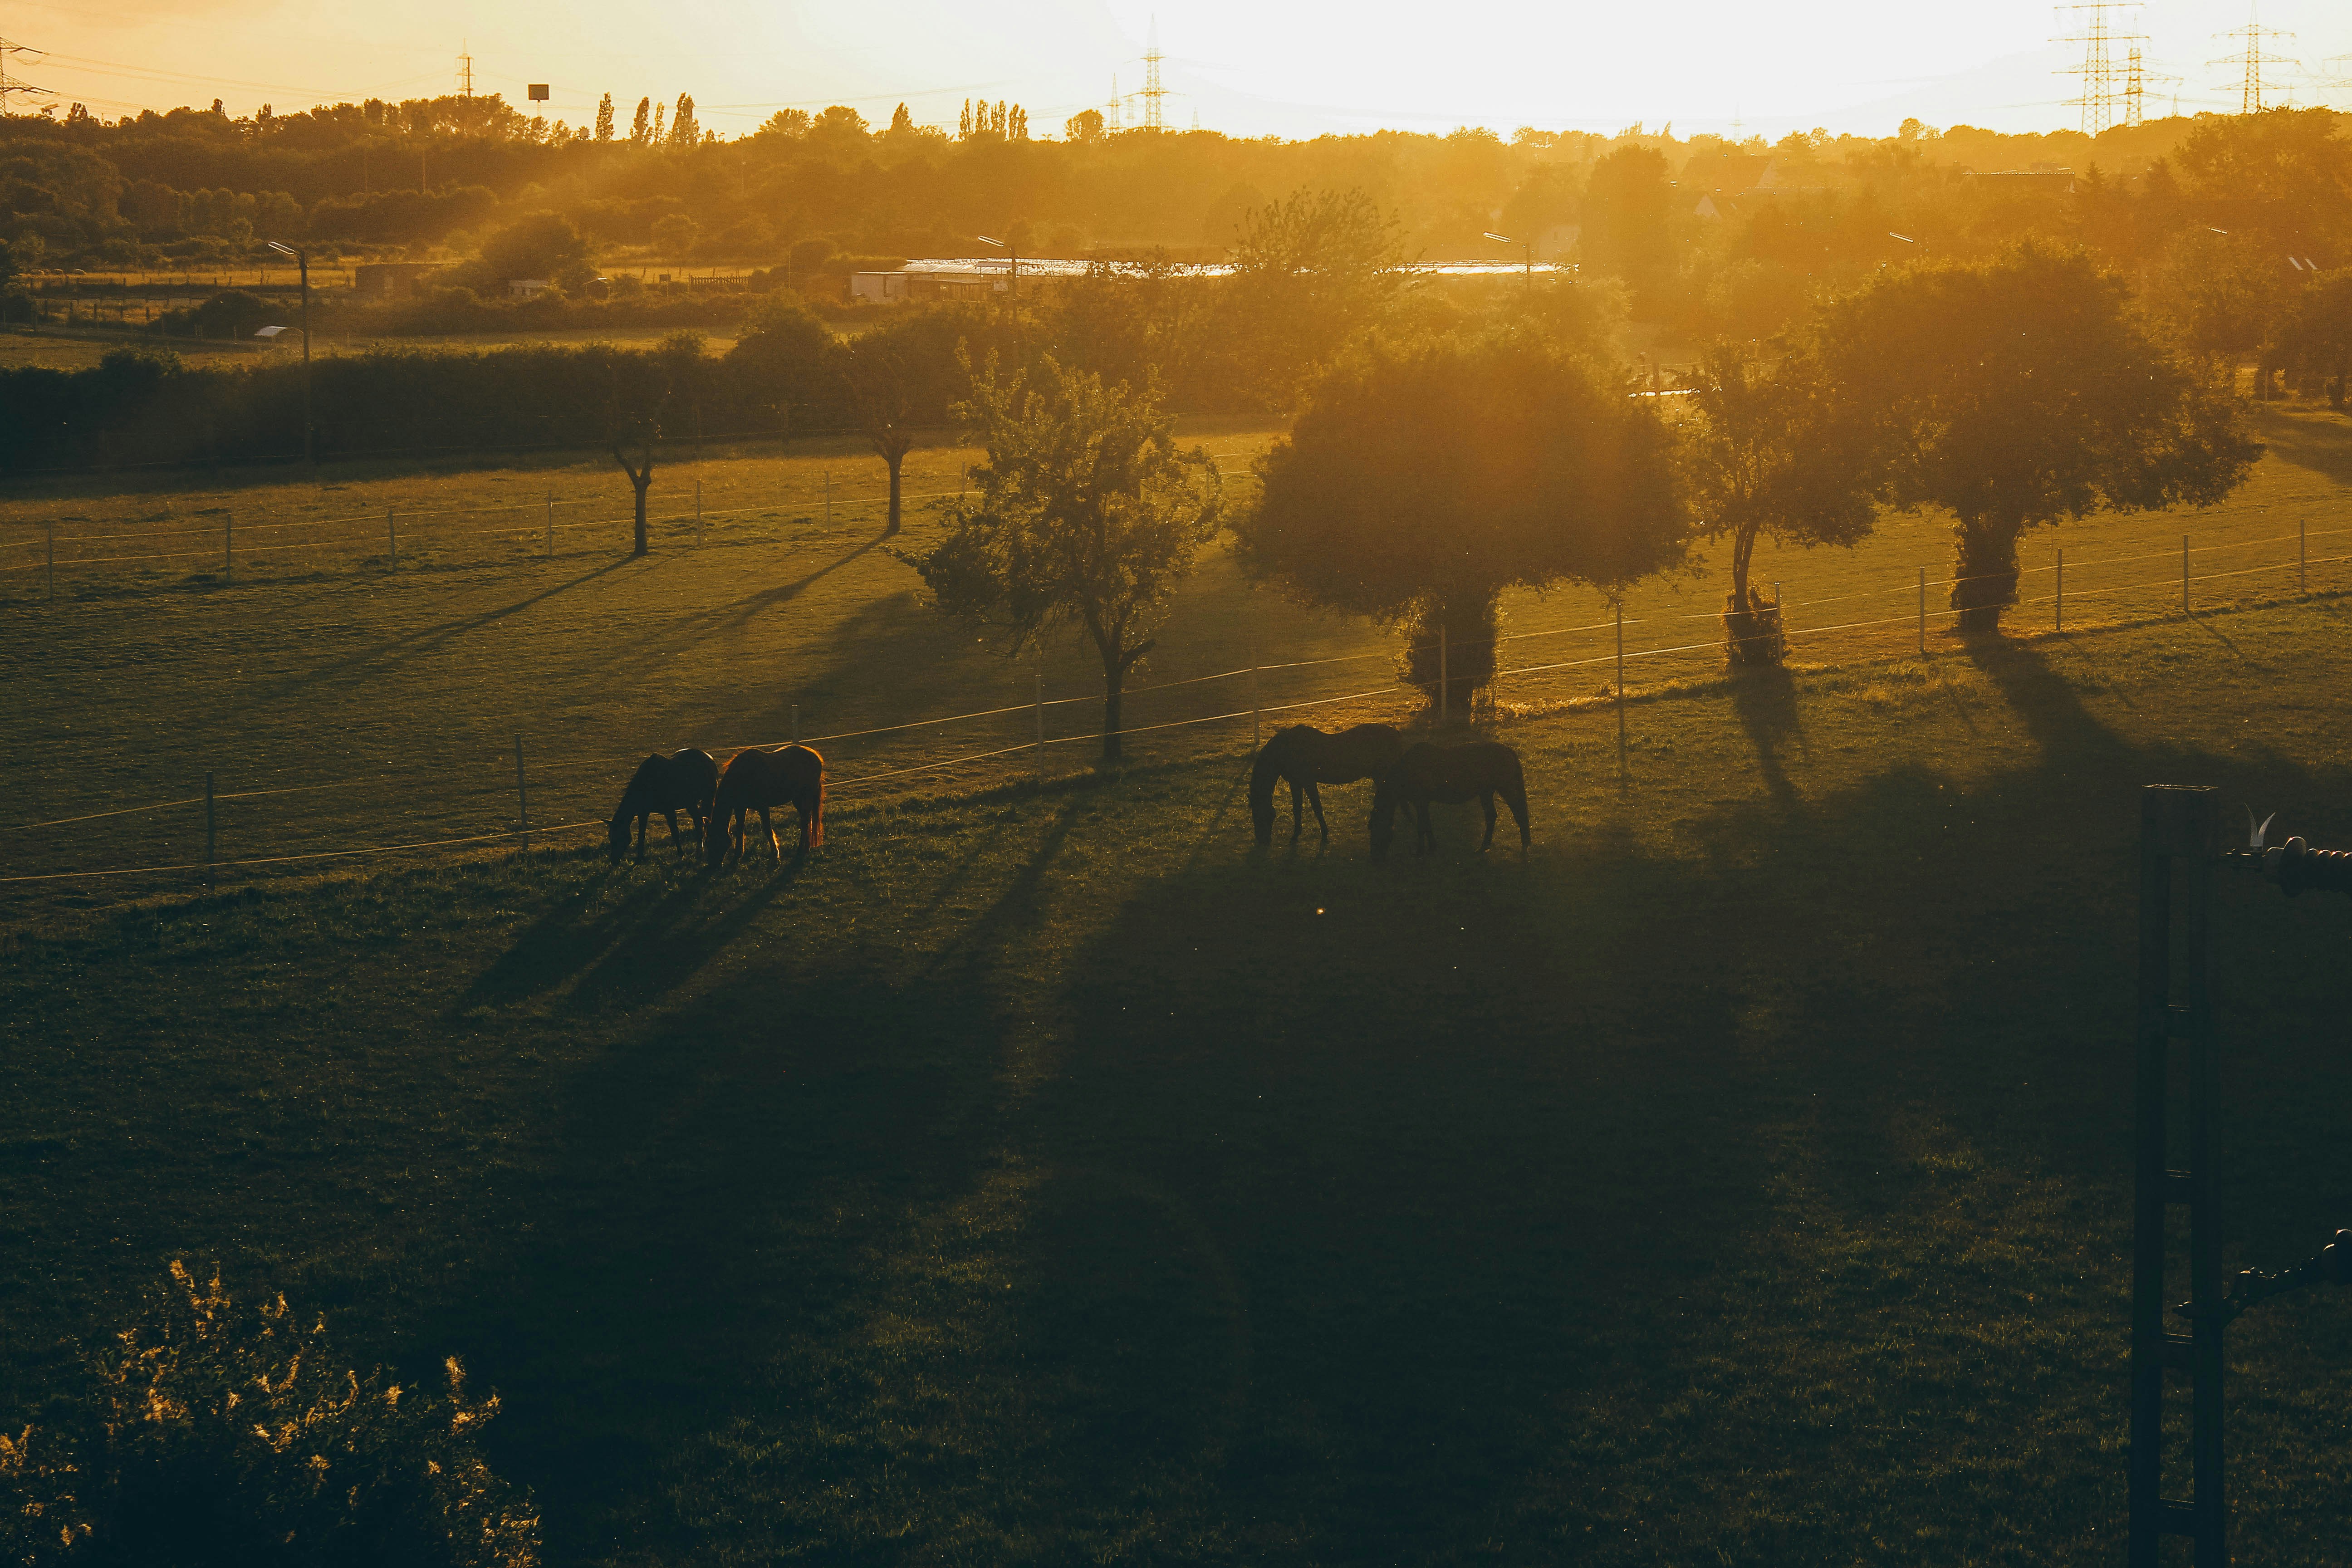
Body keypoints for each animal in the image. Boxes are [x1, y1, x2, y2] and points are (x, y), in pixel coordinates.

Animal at [607, 748, 720, 865]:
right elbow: (641, 835)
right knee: (699, 821)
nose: (613, 861)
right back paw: (698, 851)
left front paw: (681, 854)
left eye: (620, 837)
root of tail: (709, 757)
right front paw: (640, 858)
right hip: (691, 804)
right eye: (610, 836)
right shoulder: (643, 813)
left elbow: (675, 833)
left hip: (708, 799)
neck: (648, 783)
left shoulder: (669, 811)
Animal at [707, 744, 826, 867]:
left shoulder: (763, 807)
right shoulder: (740, 808)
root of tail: (816, 756)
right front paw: (737, 857)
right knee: (807, 820)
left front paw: (775, 855)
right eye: (707, 842)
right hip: (798, 800)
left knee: (805, 822)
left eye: (715, 841)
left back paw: (800, 850)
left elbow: (768, 830)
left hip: (804, 798)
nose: (712, 866)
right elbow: (740, 831)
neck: (744, 776)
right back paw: (806, 848)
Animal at [1249, 724, 1408, 846]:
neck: (1287, 750)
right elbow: (1297, 809)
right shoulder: (1296, 783)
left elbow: (1317, 807)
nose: (1262, 841)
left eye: (1260, 815)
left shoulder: (1308, 782)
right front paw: (1296, 835)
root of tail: (1398, 735)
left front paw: (1325, 833)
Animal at [1369, 741, 1531, 861]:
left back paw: (1525, 847)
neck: (1407, 771)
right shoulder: (1423, 803)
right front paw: (1432, 847)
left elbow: (1422, 827)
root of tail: (1508, 751)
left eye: (1376, 828)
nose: (1374, 859)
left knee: (1520, 813)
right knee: (1491, 816)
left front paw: (1420, 852)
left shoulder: (1420, 802)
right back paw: (1483, 847)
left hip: (1506, 787)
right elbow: (1427, 825)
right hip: (1486, 792)